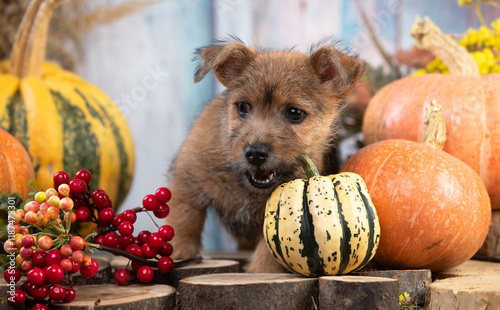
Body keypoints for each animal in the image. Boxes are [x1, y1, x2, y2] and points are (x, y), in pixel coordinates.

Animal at [166, 39, 366, 274]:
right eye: (243, 106)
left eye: (294, 113)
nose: (255, 153)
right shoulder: (187, 179)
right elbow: (183, 219)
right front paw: (177, 251)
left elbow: (271, 252)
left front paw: (259, 270)